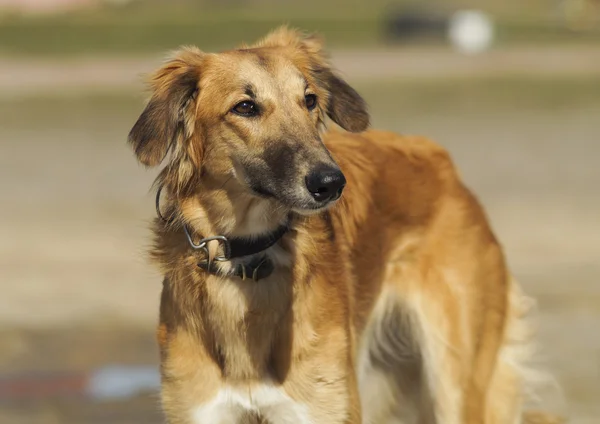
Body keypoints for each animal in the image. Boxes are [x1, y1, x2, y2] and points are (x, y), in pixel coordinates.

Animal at [127, 27, 564, 424]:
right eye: (245, 107)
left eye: (309, 100)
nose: (331, 183)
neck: (248, 262)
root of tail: (442, 162)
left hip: (456, 380)